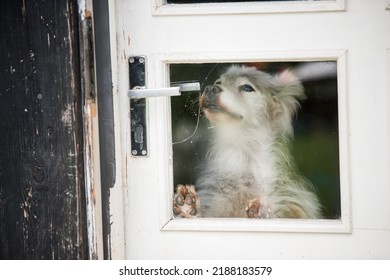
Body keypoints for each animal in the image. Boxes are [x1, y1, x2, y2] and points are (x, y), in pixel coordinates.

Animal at [173, 65, 320, 219]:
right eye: (218, 82)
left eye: (247, 88)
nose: (210, 88)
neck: (242, 155)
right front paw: (188, 208)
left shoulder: (290, 204)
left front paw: (262, 213)